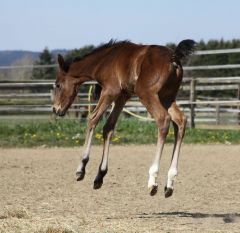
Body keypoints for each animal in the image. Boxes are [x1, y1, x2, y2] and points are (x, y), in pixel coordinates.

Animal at [52, 39, 195, 198]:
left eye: (57, 85)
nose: (56, 109)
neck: (104, 60)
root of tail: (174, 58)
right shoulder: (122, 95)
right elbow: (108, 127)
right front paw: (99, 176)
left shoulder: (110, 91)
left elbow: (92, 119)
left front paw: (81, 168)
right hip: (167, 97)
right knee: (180, 121)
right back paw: (169, 183)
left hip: (147, 93)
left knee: (163, 120)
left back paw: (152, 180)